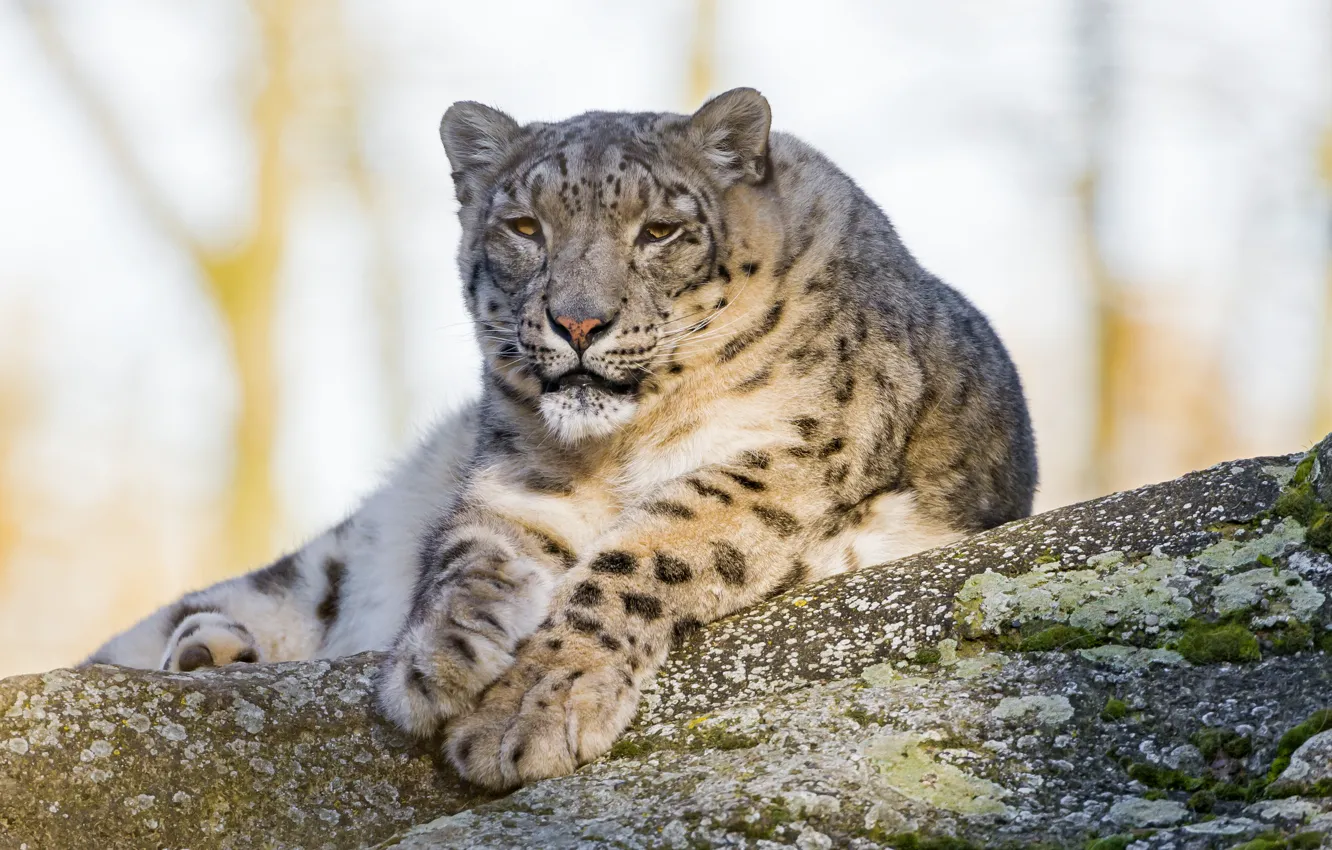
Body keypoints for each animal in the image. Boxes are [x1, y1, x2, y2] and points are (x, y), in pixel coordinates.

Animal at [85, 88, 1037, 790]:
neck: (612, 452)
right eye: (524, 227)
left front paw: (529, 711)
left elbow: (643, 557)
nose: (578, 321)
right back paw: (207, 650)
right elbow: (472, 555)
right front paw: (438, 660)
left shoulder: (782, 456)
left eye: (660, 230)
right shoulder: (518, 472)